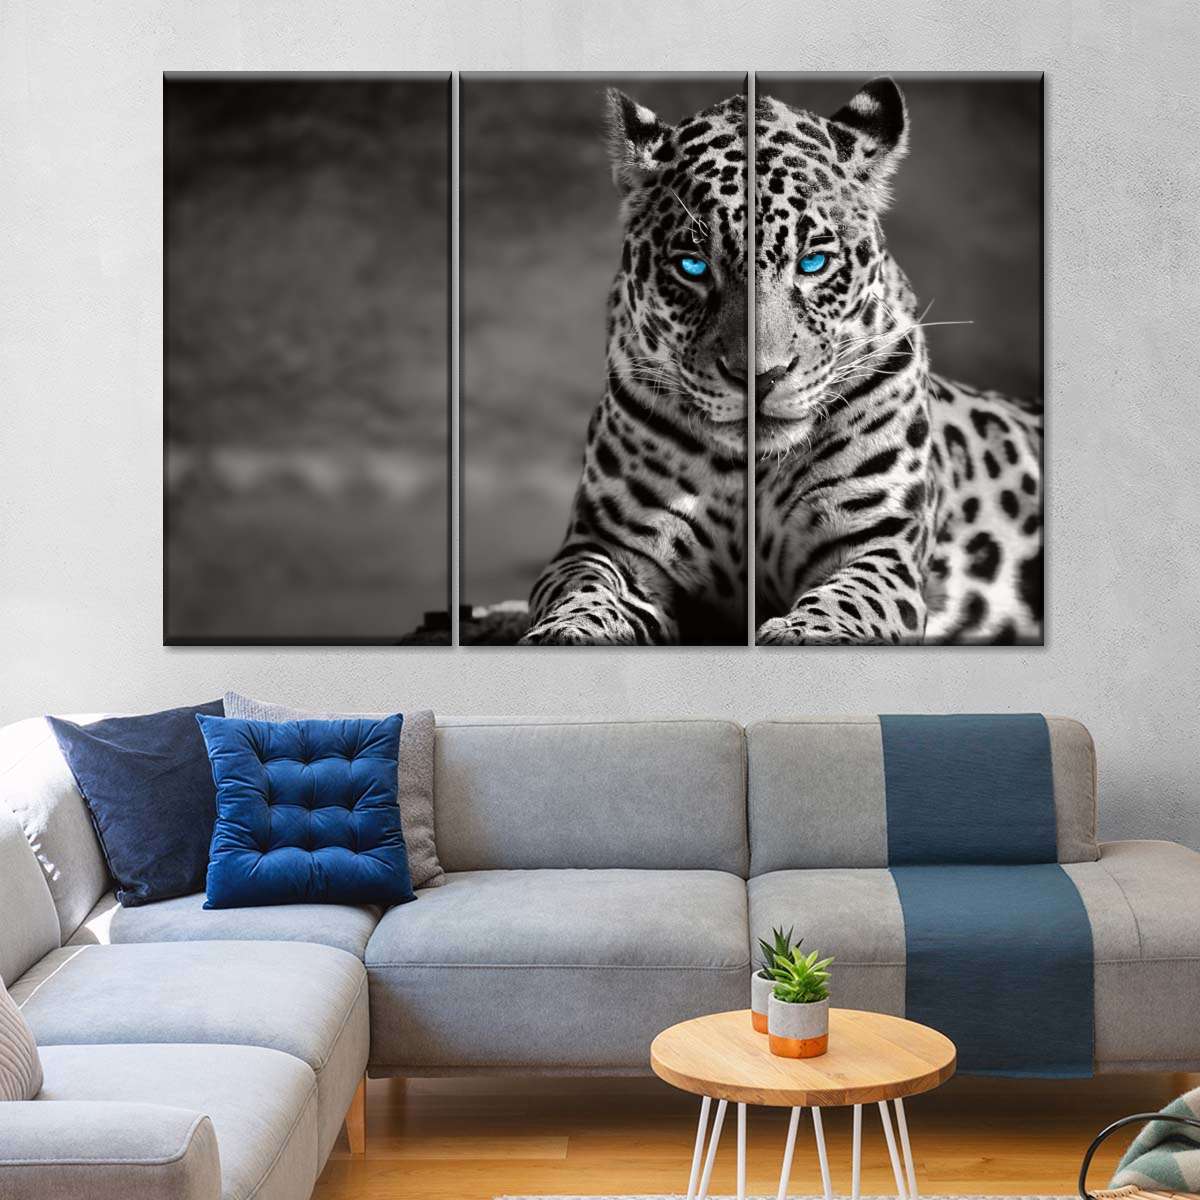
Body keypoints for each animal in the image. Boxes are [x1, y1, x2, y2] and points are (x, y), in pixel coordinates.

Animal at [521, 78, 1042, 646]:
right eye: (692, 267)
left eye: (813, 262)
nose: (759, 376)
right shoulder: (608, 542)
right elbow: (584, 589)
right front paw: (569, 631)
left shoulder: (877, 544)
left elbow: (848, 600)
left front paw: (804, 632)